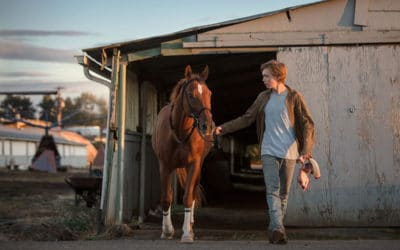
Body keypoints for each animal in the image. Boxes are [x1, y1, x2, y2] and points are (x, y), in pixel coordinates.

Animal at [152, 64, 214, 242]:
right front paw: (167, 231)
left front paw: (187, 233)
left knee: (192, 192)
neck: (180, 132)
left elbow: (188, 197)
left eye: (209, 93)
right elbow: (166, 198)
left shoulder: (194, 164)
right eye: (191, 95)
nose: (208, 126)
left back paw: (191, 225)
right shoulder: (165, 167)